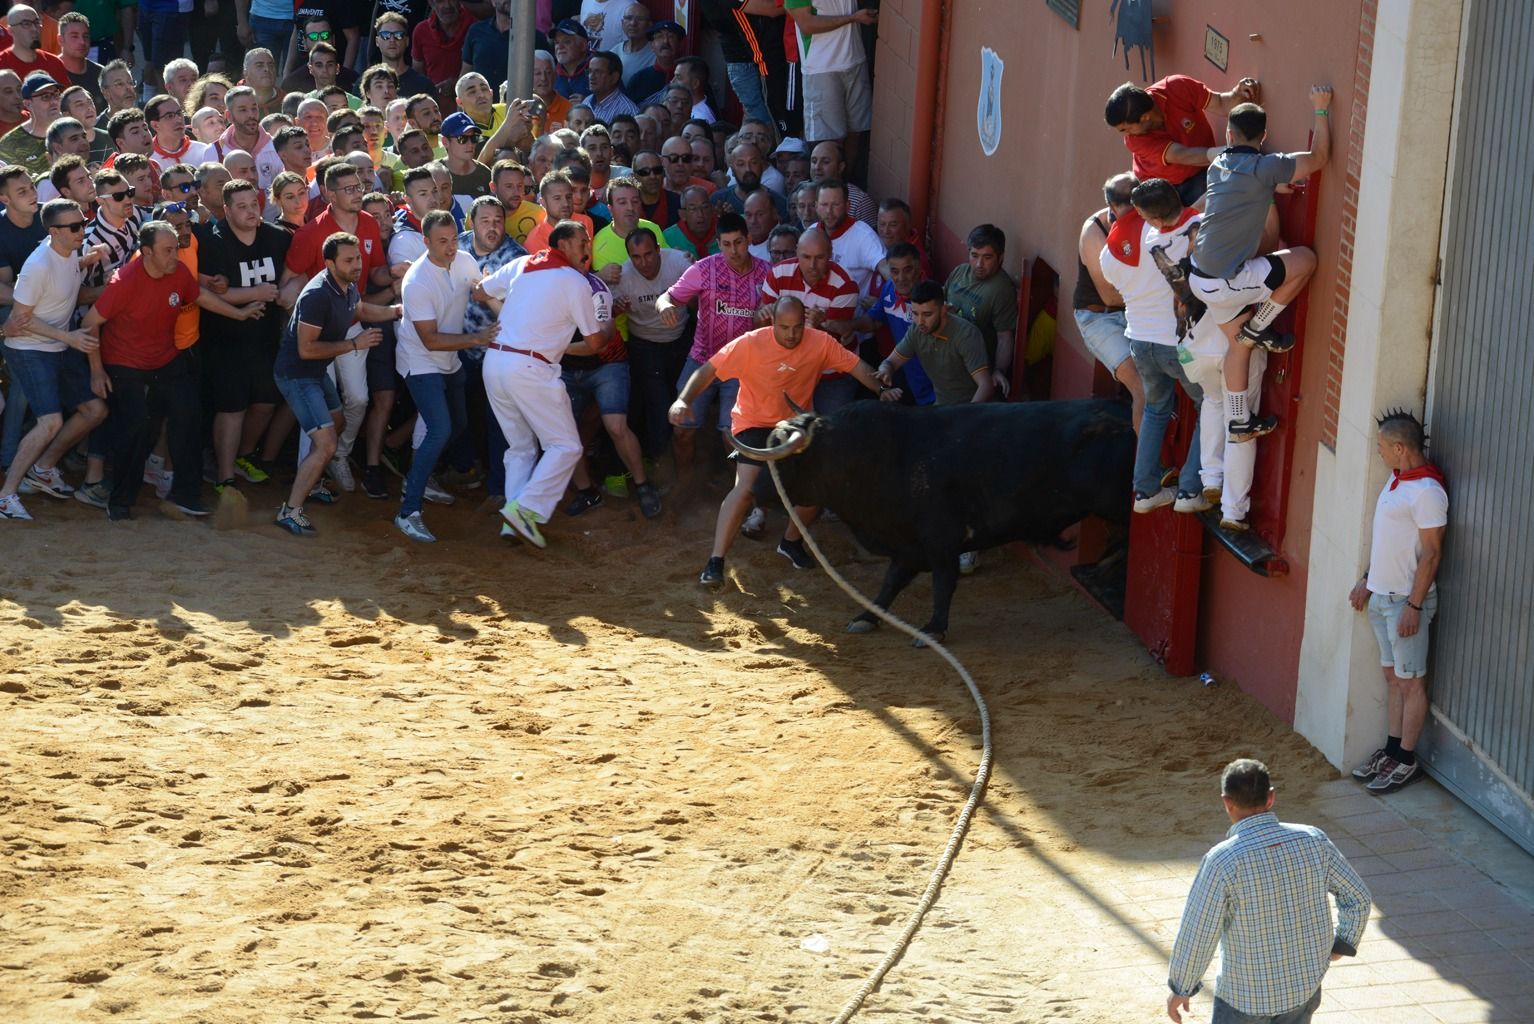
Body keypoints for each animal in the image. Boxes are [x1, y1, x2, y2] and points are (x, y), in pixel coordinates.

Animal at [730, 398, 1141, 640]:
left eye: (787, 462)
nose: (757, 491)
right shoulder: (907, 542)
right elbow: (891, 582)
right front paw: (866, 617)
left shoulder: (940, 540)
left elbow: (943, 583)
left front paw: (932, 630)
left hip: (1120, 504)